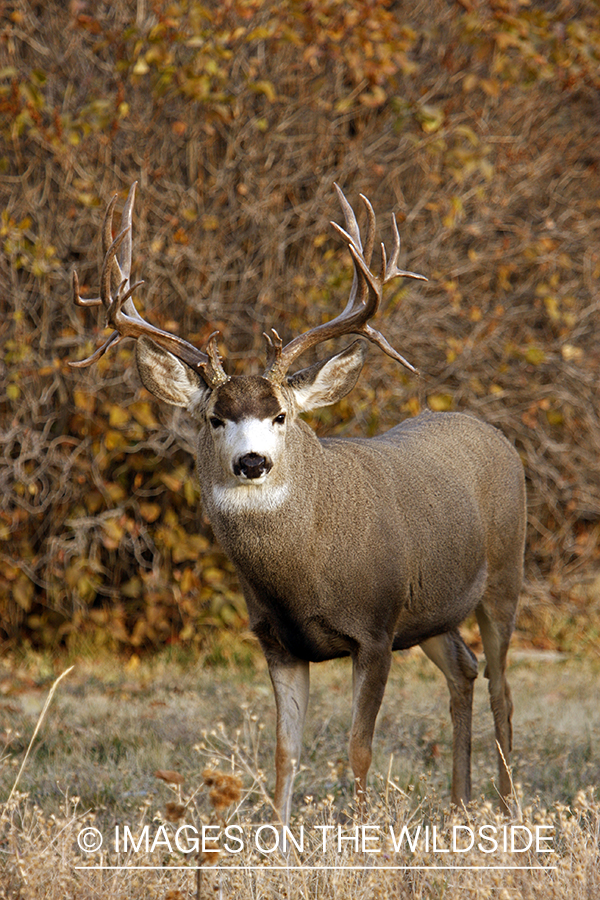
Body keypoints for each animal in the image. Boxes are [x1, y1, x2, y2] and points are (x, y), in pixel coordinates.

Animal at [70, 182, 526, 825]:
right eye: (215, 418)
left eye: (281, 416)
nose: (252, 461)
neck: (303, 574)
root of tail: (493, 432)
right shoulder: (277, 640)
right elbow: (285, 753)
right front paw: (280, 838)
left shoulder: (375, 627)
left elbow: (359, 749)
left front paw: (361, 833)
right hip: (430, 612)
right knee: (464, 667)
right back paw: (459, 806)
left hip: (504, 576)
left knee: (502, 690)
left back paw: (506, 810)